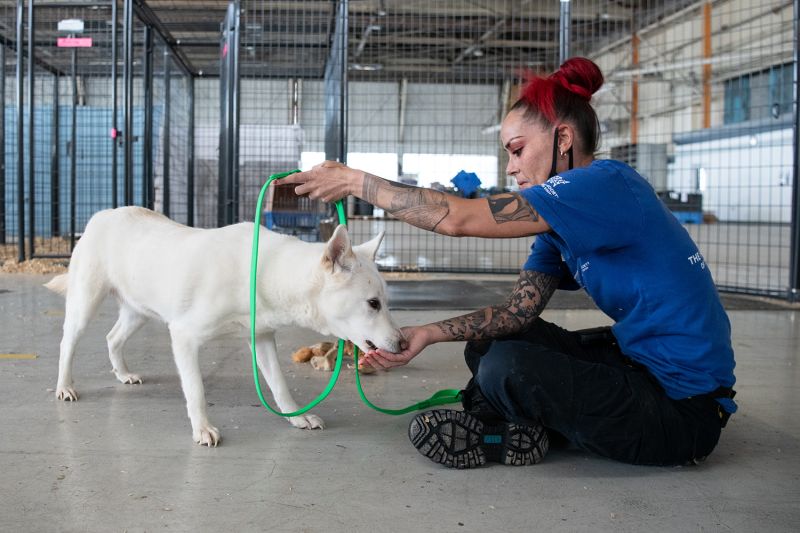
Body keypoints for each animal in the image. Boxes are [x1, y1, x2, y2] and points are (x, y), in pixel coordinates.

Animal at [47, 207, 404, 444]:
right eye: (373, 303)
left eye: (386, 302)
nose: (402, 345)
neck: (266, 272)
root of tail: (102, 214)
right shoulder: (183, 337)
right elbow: (196, 391)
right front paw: (202, 429)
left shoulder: (262, 339)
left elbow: (279, 386)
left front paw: (296, 416)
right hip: (85, 305)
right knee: (67, 344)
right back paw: (64, 386)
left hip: (139, 312)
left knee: (112, 338)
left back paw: (122, 374)